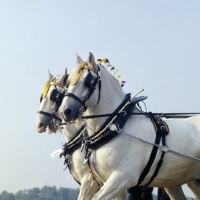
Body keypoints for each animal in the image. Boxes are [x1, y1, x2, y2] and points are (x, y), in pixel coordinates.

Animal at [59, 52, 200, 199]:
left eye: (89, 82)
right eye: (68, 82)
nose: (65, 111)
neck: (115, 126)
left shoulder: (123, 178)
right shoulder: (105, 181)